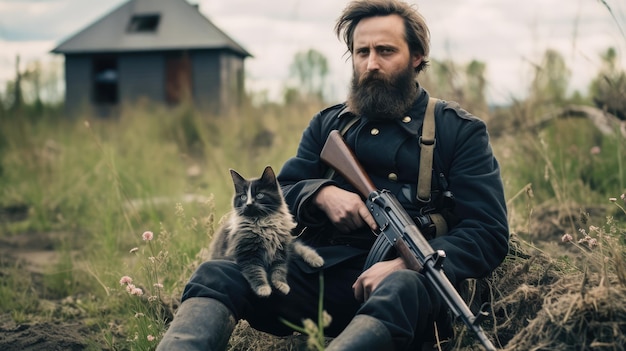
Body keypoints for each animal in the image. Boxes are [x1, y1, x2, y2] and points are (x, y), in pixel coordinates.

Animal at [207, 166, 322, 298]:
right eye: (243, 197)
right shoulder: (247, 254)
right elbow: (256, 272)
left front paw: (281, 284)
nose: (248, 204)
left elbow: (280, 269)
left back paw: (316, 259)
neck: (262, 224)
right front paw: (263, 289)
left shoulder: (281, 251)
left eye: (260, 195)